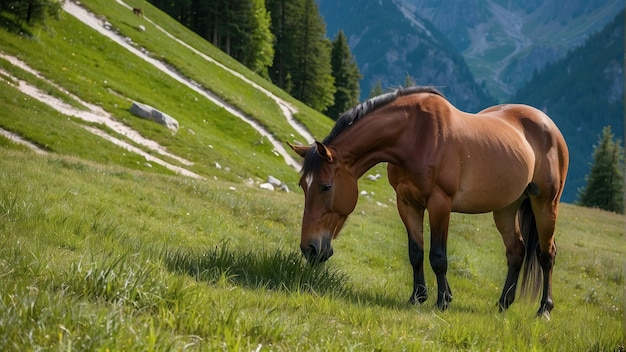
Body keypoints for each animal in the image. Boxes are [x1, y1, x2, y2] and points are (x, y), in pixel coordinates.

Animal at [288, 86, 564, 320]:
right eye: (303, 185)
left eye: (326, 186)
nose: (310, 249)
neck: (415, 136)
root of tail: (548, 125)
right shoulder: (406, 203)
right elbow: (416, 252)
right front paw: (417, 297)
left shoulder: (439, 204)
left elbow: (438, 256)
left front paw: (443, 301)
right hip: (506, 208)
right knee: (516, 251)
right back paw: (503, 304)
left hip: (545, 203)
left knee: (546, 254)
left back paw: (544, 309)